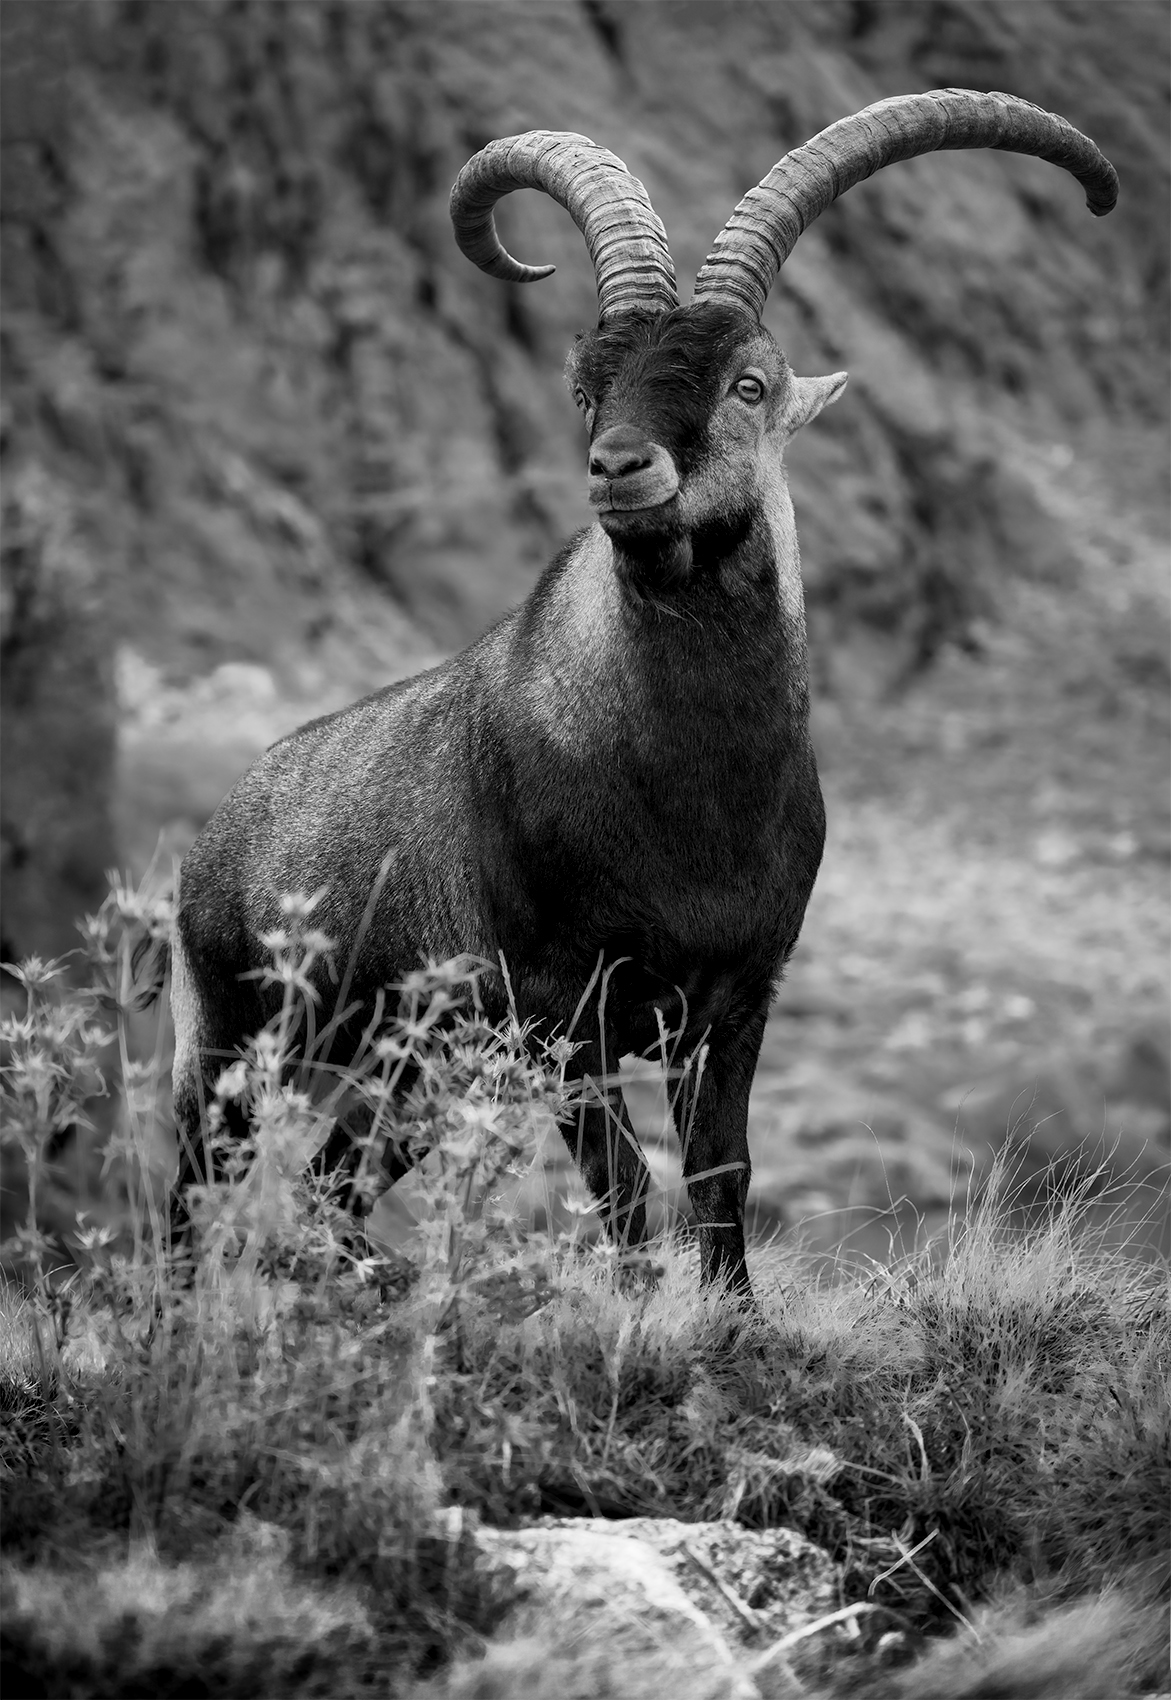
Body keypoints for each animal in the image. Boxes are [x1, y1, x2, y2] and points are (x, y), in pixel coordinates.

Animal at [171, 89, 1114, 1285]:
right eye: (588, 384)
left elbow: (720, 1177)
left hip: (412, 1063)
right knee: (191, 1188)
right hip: (238, 1035)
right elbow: (621, 1193)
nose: (621, 467)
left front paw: (733, 1315)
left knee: (334, 1178)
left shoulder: (736, 998)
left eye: (748, 384)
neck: (690, 791)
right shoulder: (562, 1011)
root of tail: (220, 829)